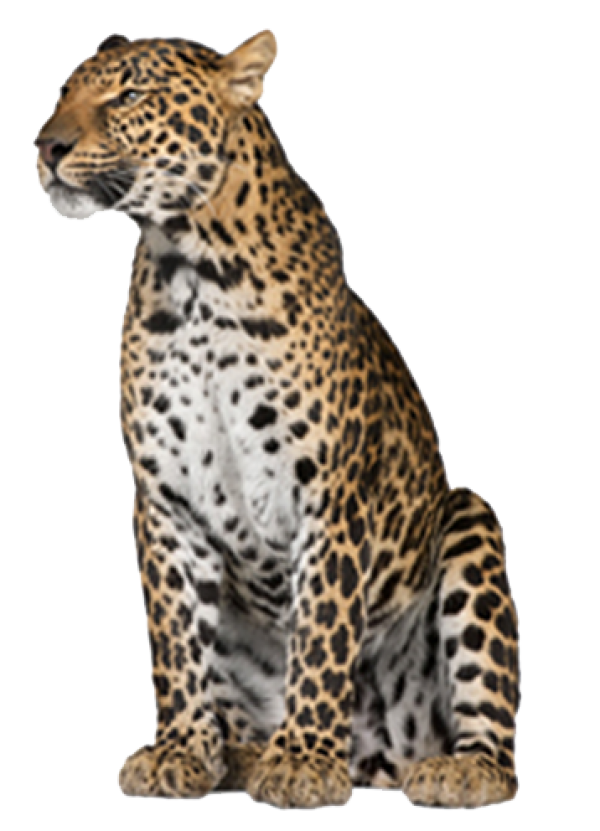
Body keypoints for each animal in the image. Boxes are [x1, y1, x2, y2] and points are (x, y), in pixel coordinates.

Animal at [35, 31, 520, 808]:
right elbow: (176, 640)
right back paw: (239, 752)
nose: (47, 145)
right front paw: (180, 749)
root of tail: (379, 754)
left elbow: (322, 627)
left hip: (470, 523)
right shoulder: (165, 500)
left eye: (130, 95)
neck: (194, 271)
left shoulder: (330, 496)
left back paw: (453, 769)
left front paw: (302, 761)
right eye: (65, 95)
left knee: (494, 733)